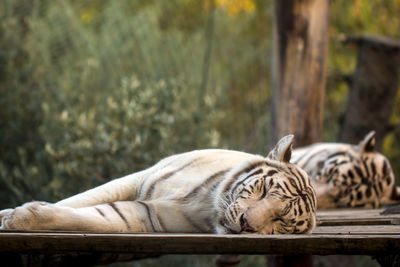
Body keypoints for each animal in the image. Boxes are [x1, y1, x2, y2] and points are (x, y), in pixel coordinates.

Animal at [1, 136, 318, 237]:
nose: (245, 223)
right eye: (263, 190)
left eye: (281, 221)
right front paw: (8, 214)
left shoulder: (146, 215)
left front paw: (21, 217)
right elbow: (77, 200)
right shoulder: (139, 178)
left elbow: (91, 216)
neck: (209, 202)